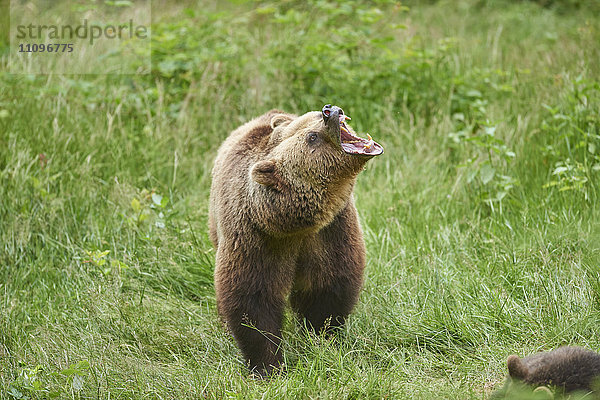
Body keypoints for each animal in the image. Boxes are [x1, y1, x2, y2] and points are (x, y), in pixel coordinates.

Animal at [209, 104, 382, 376]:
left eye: (314, 118)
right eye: (312, 137)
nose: (329, 110)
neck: (295, 225)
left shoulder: (330, 232)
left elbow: (328, 284)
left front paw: (321, 338)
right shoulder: (257, 237)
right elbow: (253, 295)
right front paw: (268, 366)